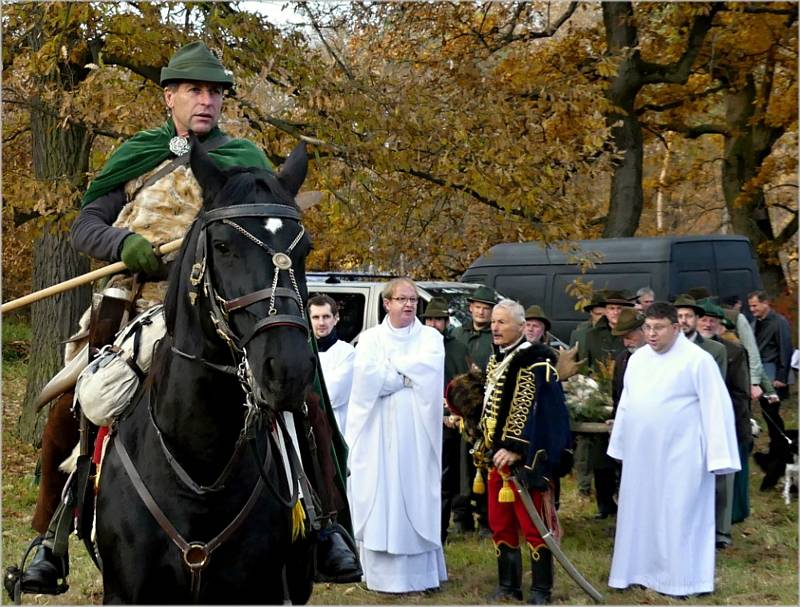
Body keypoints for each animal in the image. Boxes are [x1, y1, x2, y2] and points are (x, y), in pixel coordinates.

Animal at [95, 141, 318, 604]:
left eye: (304, 249)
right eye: (222, 245)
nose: (287, 370)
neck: (199, 466)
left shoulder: (260, 590)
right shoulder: (126, 592)